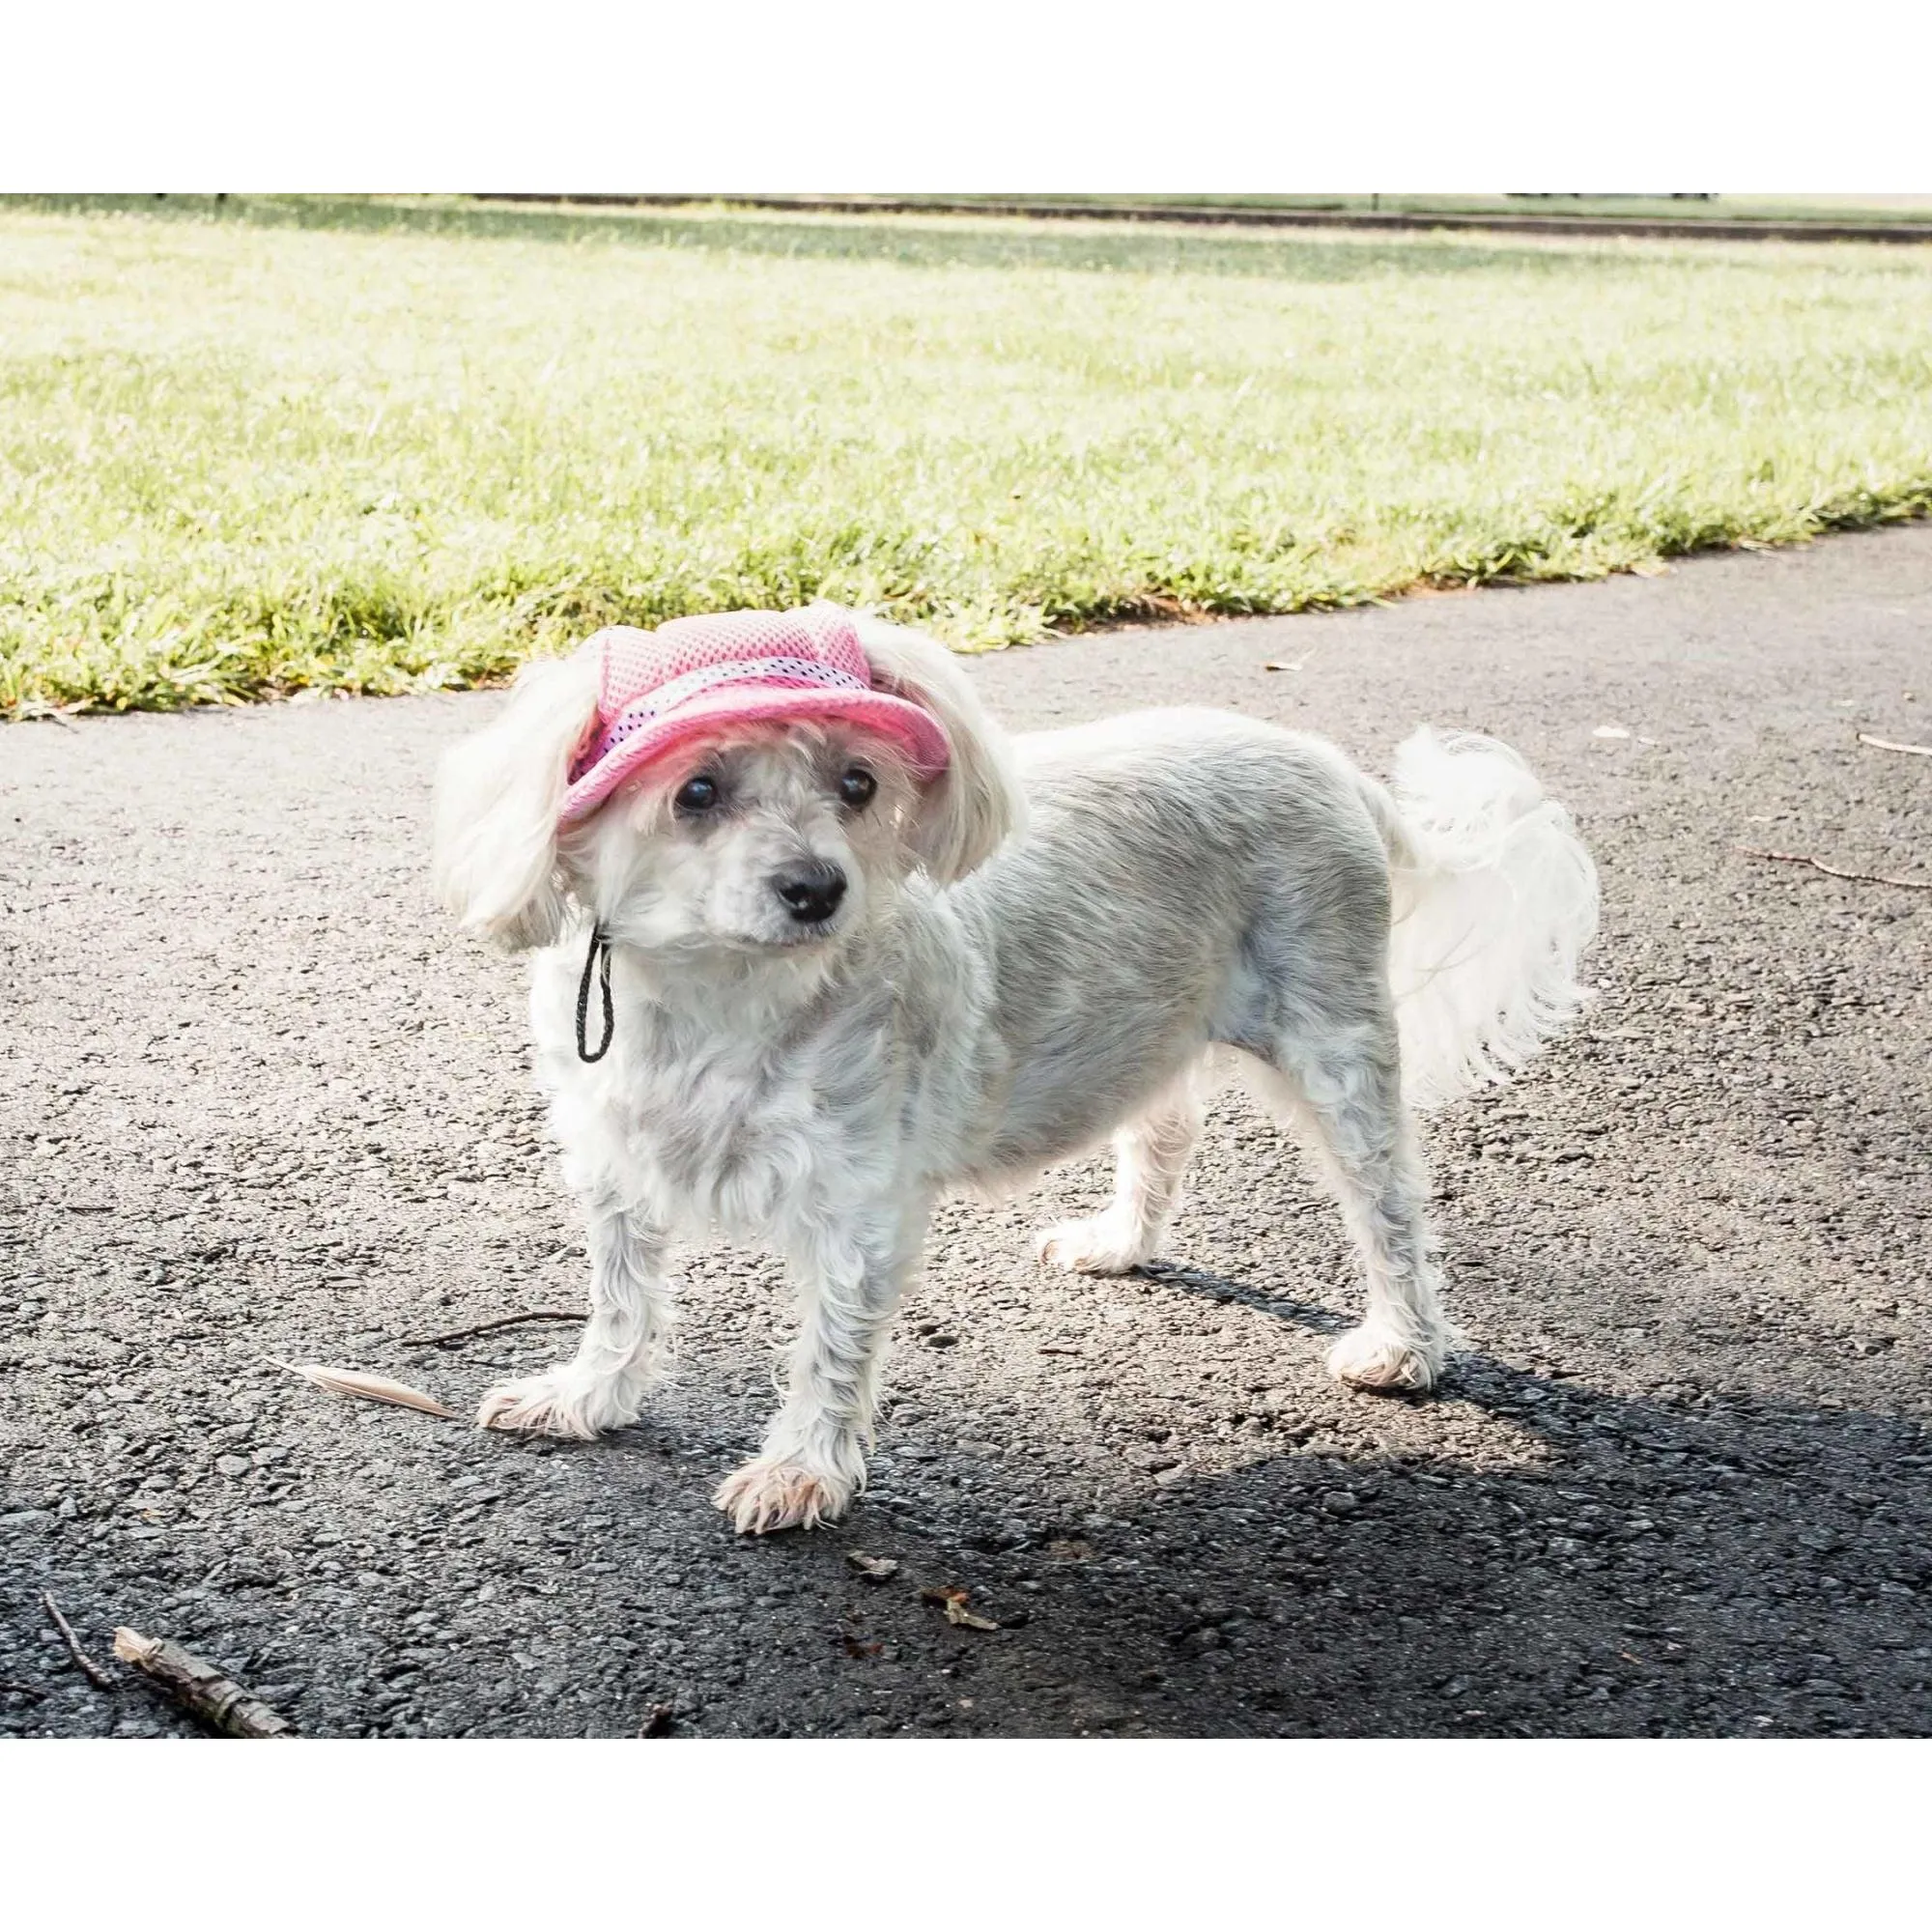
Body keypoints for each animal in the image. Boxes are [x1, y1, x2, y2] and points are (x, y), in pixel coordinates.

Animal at [435, 595, 1600, 1530]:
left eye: (856, 782)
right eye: (696, 792)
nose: (818, 887)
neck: (724, 997)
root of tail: (1336, 769)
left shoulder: (858, 1198)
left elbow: (829, 1344)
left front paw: (802, 1470)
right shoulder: (614, 1159)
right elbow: (620, 1298)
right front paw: (584, 1396)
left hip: (1335, 1041)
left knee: (1387, 1205)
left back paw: (1403, 1343)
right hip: (1149, 1014)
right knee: (1166, 1128)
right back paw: (1120, 1241)